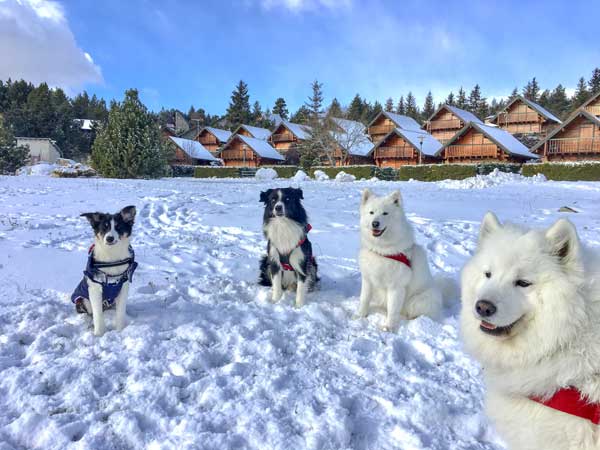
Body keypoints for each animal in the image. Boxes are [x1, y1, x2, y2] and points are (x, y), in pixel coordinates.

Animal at [354, 190, 442, 330]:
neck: (382, 251)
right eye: (371, 212)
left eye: (385, 213)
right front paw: (359, 316)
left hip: (420, 300)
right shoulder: (368, 280)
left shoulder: (396, 287)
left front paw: (388, 327)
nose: (375, 223)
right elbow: (364, 299)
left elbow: (392, 309)